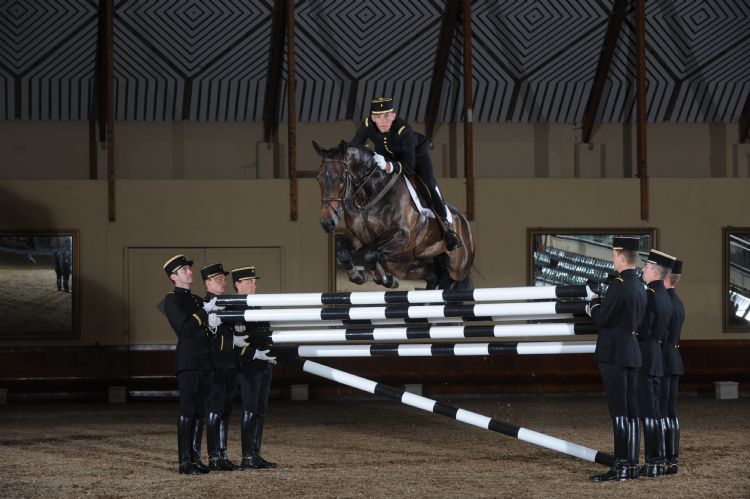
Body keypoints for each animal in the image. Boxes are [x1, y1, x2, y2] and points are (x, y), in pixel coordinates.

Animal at [312, 140, 476, 290]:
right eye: (318, 178)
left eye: (341, 179)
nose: (327, 222)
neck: (368, 196)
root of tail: (464, 222)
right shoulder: (357, 235)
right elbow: (342, 251)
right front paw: (360, 277)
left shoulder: (401, 236)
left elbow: (368, 254)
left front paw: (382, 279)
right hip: (407, 266)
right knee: (433, 277)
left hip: (456, 271)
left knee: (447, 283)